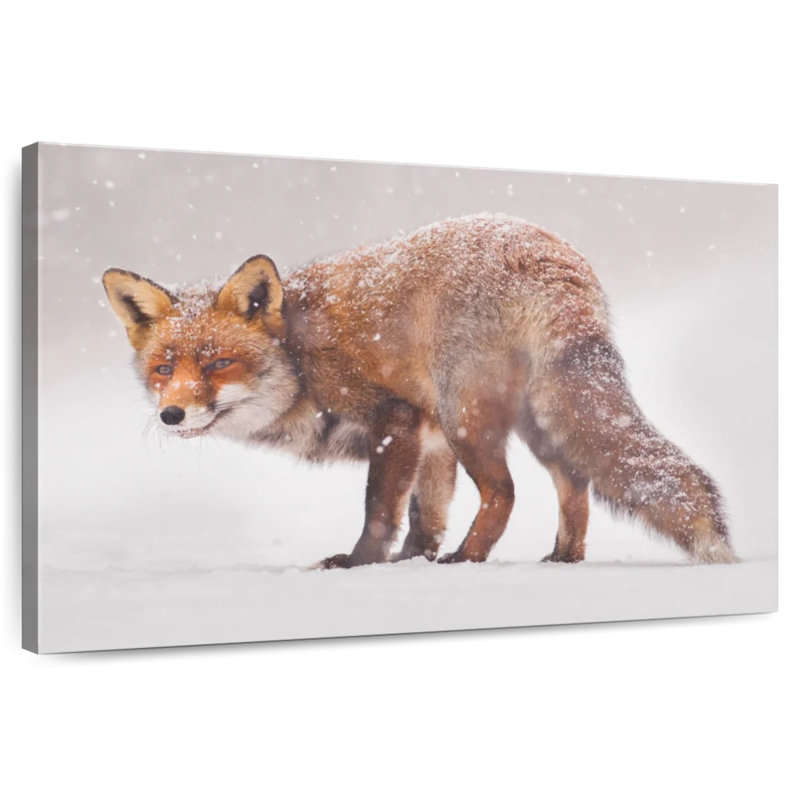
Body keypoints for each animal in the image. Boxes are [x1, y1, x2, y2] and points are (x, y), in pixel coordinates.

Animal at [102, 212, 737, 568]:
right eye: (164, 368)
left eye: (219, 363)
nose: (172, 414)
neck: (301, 357)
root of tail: (545, 254)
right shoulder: (429, 444)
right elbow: (424, 515)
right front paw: (412, 563)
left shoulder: (397, 420)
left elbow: (381, 511)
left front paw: (360, 566)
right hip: (534, 420)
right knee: (575, 483)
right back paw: (562, 559)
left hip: (468, 416)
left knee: (504, 493)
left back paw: (468, 561)